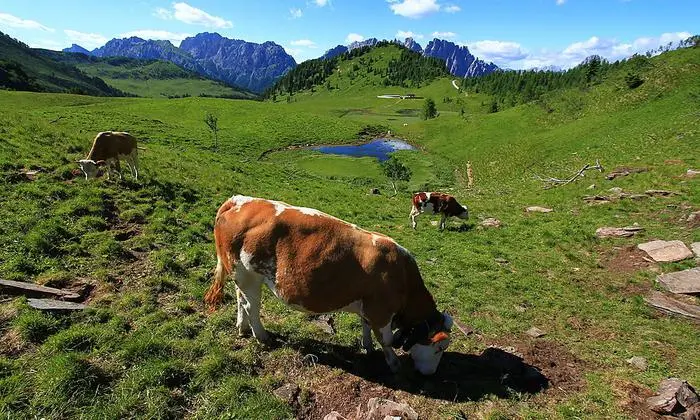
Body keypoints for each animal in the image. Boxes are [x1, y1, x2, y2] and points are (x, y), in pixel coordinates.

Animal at [204, 195, 453, 375]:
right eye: (438, 348)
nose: (430, 374)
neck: (403, 276)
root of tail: (239, 200)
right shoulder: (381, 310)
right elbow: (387, 340)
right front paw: (393, 363)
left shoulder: (369, 306)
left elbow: (365, 326)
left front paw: (367, 346)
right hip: (249, 275)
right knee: (251, 307)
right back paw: (262, 336)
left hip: (241, 275)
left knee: (240, 300)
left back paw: (243, 328)